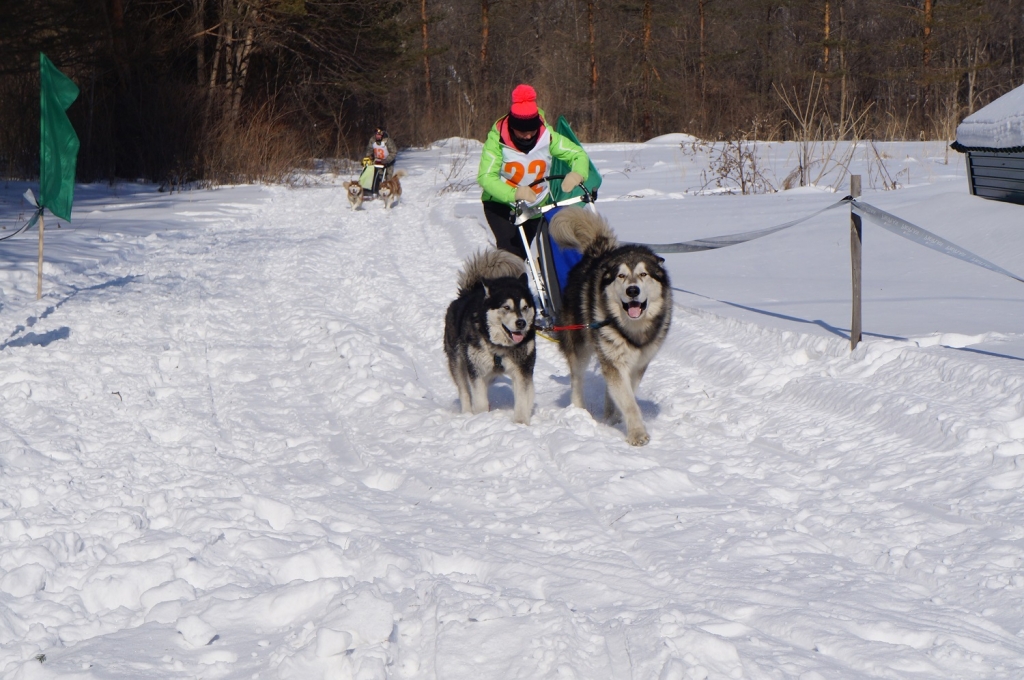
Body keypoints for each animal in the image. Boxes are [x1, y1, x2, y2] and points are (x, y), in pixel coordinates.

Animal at [442, 246, 536, 421]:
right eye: (506, 307)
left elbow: (523, 400)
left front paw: (520, 423)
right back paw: (467, 413)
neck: (500, 346)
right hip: (458, 361)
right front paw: (481, 418)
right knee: (464, 391)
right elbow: (479, 401)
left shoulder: (523, 370)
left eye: (525, 307)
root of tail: (467, 294)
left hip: (491, 373)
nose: (521, 323)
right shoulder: (476, 370)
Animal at [552, 205, 671, 446]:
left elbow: (626, 394)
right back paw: (579, 411)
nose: (632, 290)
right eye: (621, 276)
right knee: (577, 378)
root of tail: (596, 251)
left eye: (644, 274)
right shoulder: (615, 362)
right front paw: (637, 434)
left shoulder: (638, 365)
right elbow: (629, 402)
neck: (633, 329)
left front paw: (615, 418)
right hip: (579, 345)